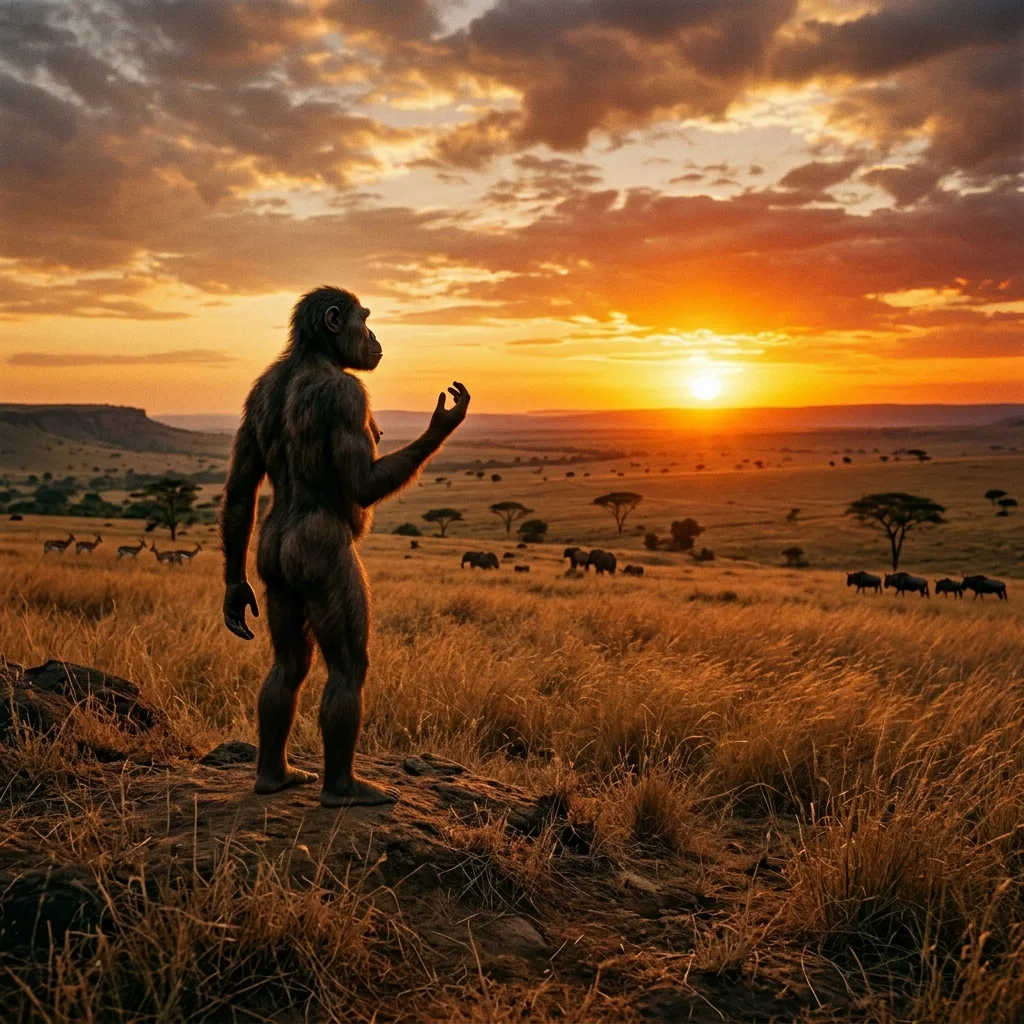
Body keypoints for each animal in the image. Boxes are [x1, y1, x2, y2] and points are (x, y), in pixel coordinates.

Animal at [220, 286, 470, 806]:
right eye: (364, 319)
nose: (375, 337)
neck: (311, 356)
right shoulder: (348, 396)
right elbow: (361, 484)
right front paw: (443, 422)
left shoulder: (254, 399)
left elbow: (240, 488)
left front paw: (234, 597)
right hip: (327, 570)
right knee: (348, 667)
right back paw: (343, 788)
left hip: (279, 580)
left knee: (288, 667)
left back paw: (274, 776)